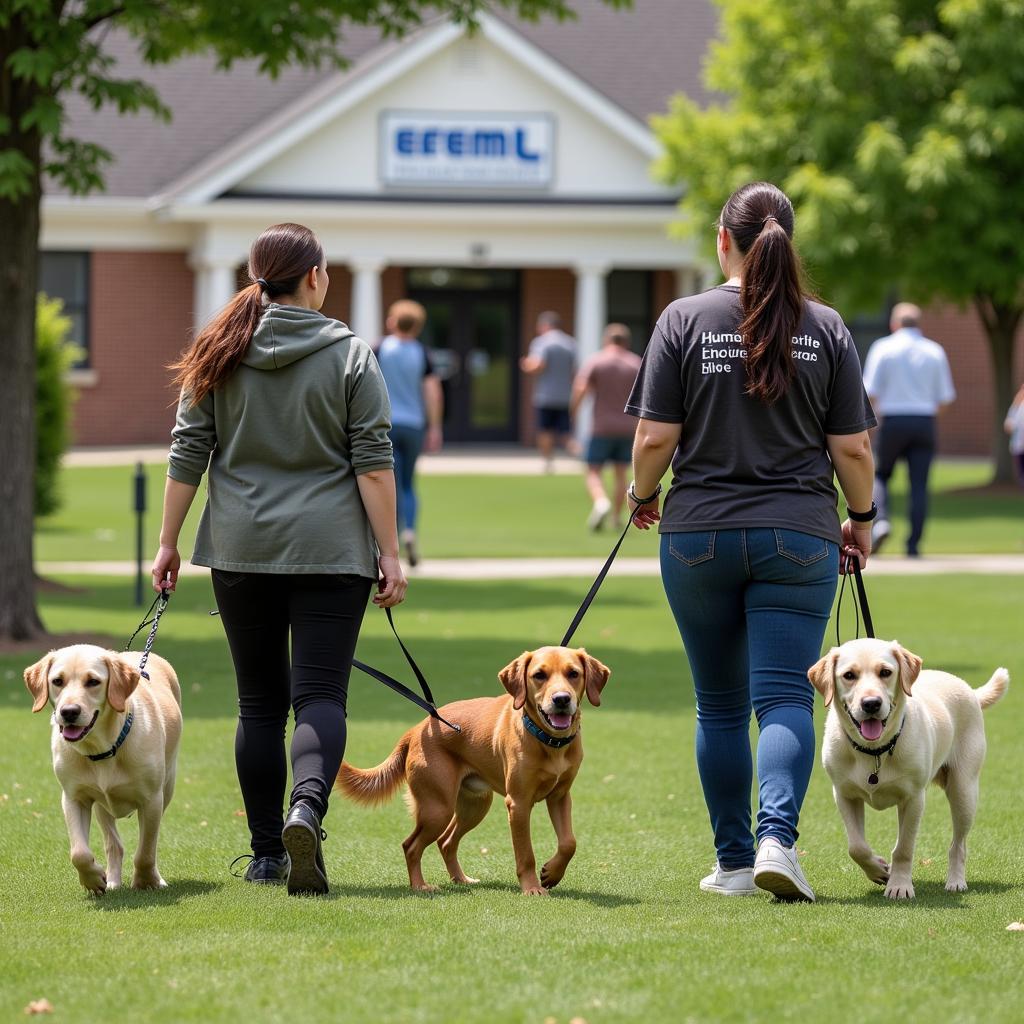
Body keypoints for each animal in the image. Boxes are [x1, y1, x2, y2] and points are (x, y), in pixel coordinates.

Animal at [335, 647, 606, 897]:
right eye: (539, 675)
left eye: (573, 673)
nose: (561, 699)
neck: (549, 742)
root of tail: (417, 728)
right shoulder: (518, 804)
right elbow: (525, 853)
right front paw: (531, 888)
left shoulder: (560, 796)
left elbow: (569, 843)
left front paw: (551, 873)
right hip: (438, 808)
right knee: (411, 845)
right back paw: (420, 885)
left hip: (474, 805)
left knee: (446, 842)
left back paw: (461, 879)